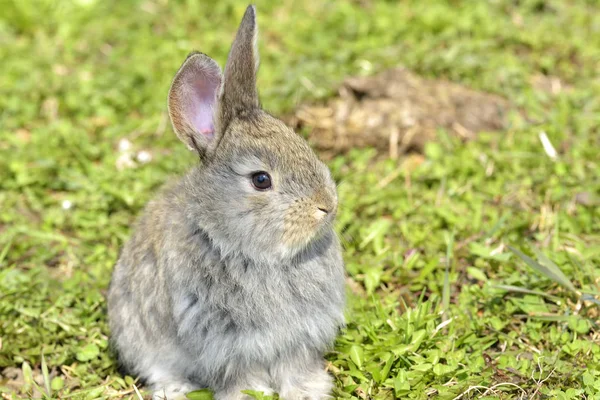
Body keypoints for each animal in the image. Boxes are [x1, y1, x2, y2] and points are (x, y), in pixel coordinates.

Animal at [105, 5, 344, 400]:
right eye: (260, 180)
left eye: (302, 143)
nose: (326, 206)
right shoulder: (224, 341)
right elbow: (241, 375)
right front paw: (251, 394)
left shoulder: (298, 337)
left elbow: (293, 367)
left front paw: (308, 390)